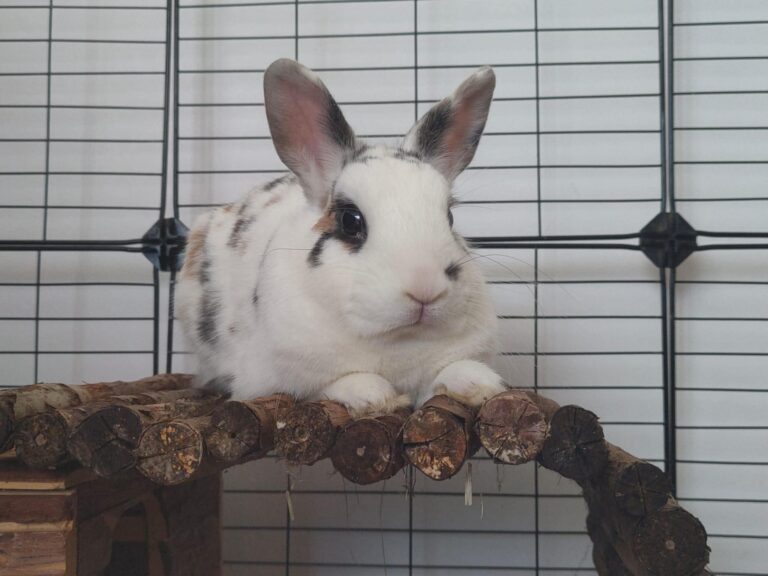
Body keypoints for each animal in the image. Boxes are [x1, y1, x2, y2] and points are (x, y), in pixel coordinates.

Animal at [175, 58, 507, 416]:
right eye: (350, 220)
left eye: (449, 217)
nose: (425, 289)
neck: (397, 340)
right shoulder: (273, 378)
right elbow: (333, 384)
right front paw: (375, 396)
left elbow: (450, 372)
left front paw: (478, 384)